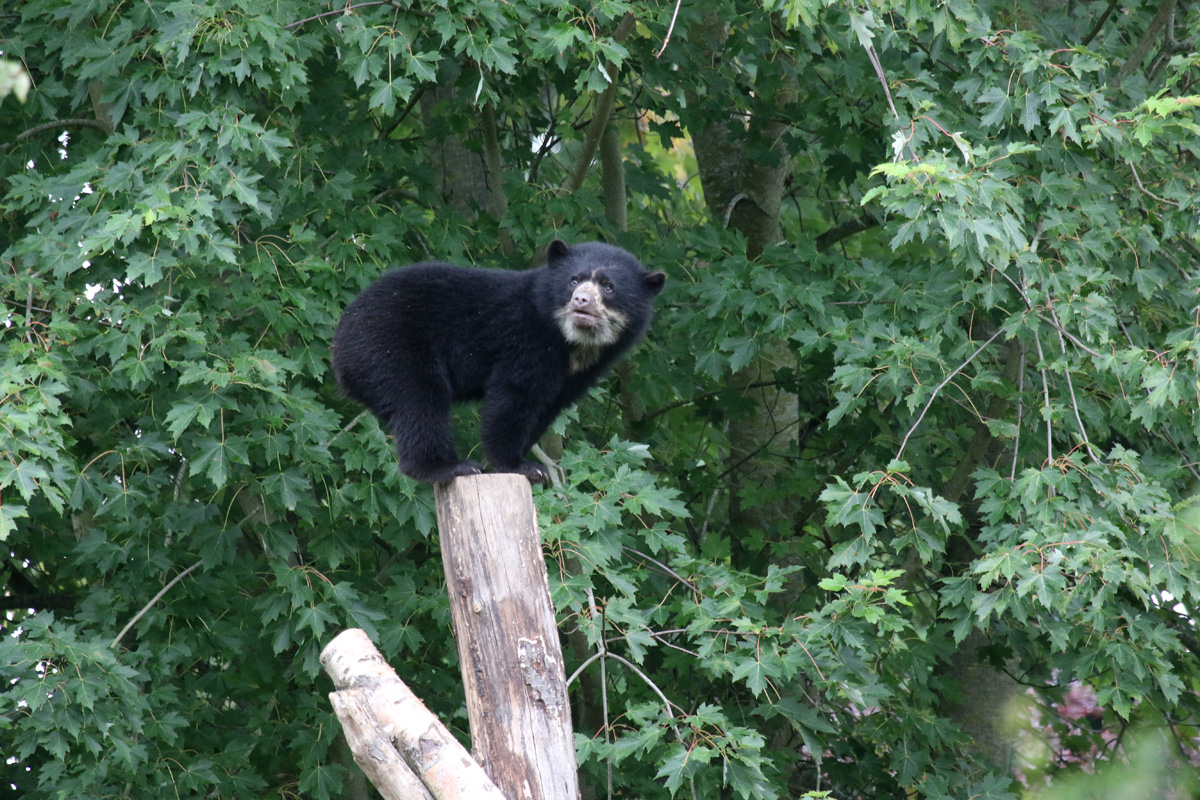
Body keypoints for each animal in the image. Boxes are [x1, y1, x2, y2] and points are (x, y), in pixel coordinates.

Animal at [331, 240, 666, 484]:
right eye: (574, 280)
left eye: (608, 287)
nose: (581, 300)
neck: (572, 342)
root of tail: (339, 342)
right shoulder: (526, 340)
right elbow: (514, 397)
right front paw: (519, 465)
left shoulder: (578, 374)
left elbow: (547, 408)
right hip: (390, 345)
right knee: (420, 401)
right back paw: (448, 466)